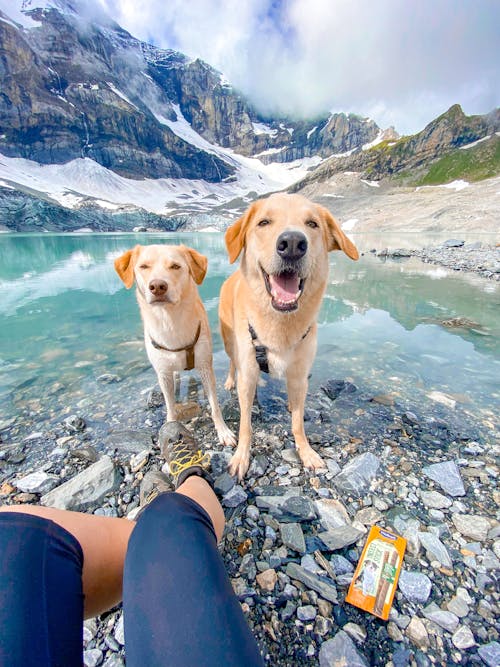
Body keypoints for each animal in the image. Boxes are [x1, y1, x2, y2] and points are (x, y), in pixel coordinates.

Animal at [116, 243, 235, 446]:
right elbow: (170, 405)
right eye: (144, 266)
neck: (170, 321)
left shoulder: (205, 366)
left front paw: (223, 431)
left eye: (175, 266)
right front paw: (169, 427)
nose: (158, 286)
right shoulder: (163, 373)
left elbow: (214, 405)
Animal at [220, 193, 360, 480]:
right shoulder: (247, 372)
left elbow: (297, 423)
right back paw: (230, 381)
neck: (280, 325)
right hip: (229, 343)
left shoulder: (298, 373)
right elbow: (245, 425)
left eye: (312, 224)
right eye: (263, 222)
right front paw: (241, 456)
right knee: (232, 363)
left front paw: (305, 451)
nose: (293, 243)